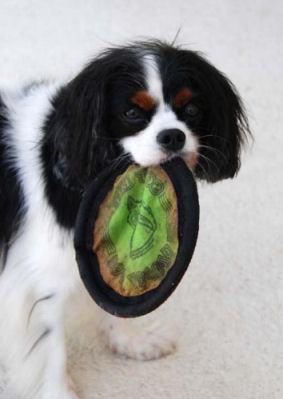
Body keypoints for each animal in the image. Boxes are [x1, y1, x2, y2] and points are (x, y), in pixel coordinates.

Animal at [0, 41, 250, 399]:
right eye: (131, 113)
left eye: (191, 110)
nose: (173, 136)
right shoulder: (37, 282)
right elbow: (51, 352)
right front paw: (59, 392)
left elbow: (118, 297)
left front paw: (133, 341)